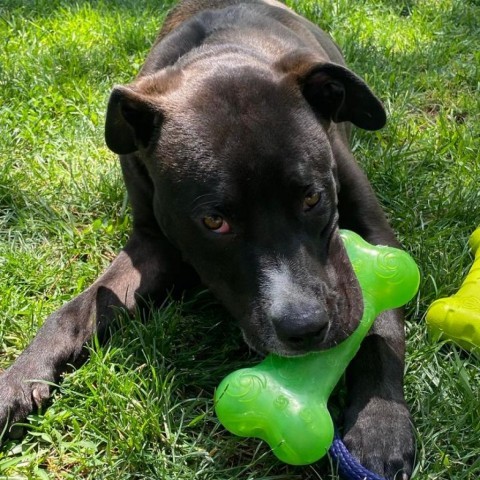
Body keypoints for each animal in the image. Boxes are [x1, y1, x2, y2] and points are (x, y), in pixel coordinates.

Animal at [0, 1, 412, 478]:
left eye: (312, 197)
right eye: (214, 221)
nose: (306, 328)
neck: (219, 56)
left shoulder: (376, 232)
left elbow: (382, 326)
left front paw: (380, 425)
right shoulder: (151, 247)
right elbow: (76, 309)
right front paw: (20, 377)